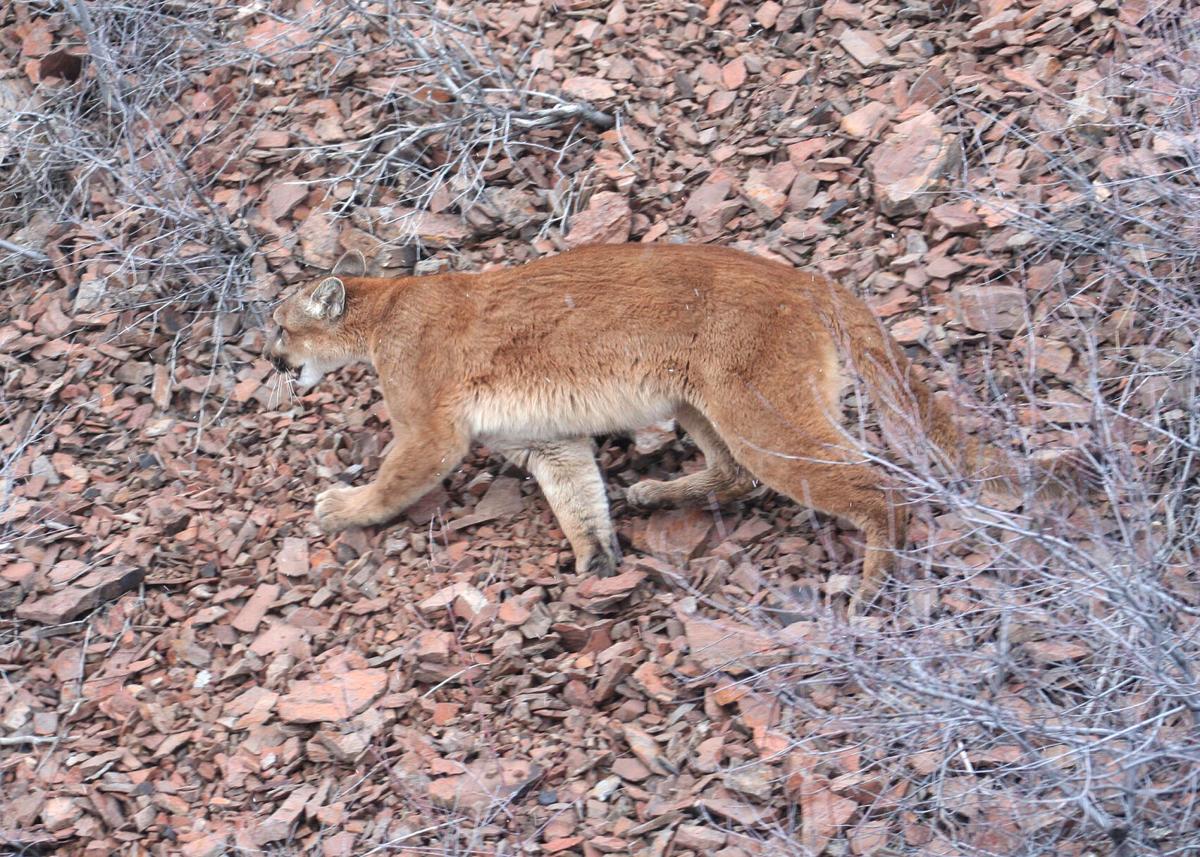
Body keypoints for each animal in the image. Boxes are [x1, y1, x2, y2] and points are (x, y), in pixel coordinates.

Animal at [265, 243, 1060, 609]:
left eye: (281, 325)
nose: (267, 354)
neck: (380, 313)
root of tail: (802, 278)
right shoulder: (546, 438)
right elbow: (577, 496)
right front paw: (598, 560)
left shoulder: (429, 424)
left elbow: (396, 479)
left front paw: (341, 508)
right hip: (695, 401)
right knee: (735, 476)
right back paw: (653, 494)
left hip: (757, 409)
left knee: (873, 484)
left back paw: (872, 584)